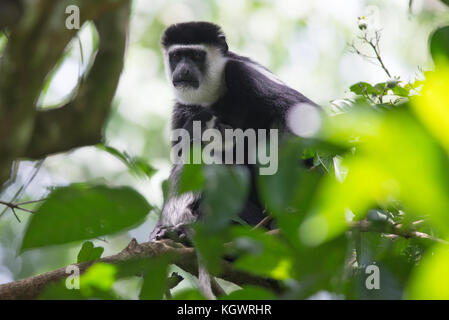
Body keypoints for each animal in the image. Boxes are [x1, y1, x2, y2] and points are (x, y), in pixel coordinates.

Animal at [150, 21, 318, 298]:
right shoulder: (181, 109)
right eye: (177, 56)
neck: (216, 93)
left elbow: (304, 119)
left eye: (196, 55)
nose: (183, 69)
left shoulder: (242, 74)